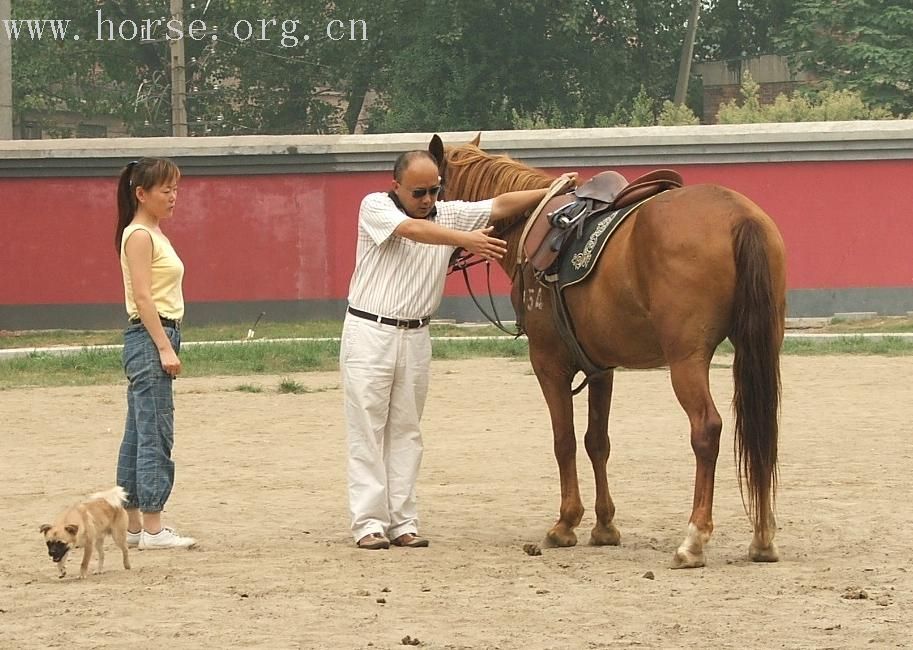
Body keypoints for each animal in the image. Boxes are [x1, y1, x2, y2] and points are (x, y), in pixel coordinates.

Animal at [432, 133, 788, 568]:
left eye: (433, 192)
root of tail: (738, 216)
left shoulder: (548, 364)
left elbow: (564, 440)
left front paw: (565, 524)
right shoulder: (601, 368)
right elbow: (596, 442)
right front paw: (603, 526)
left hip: (686, 359)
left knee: (707, 429)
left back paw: (693, 539)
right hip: (759, 346)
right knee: (762, 427)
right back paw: (763, 538)